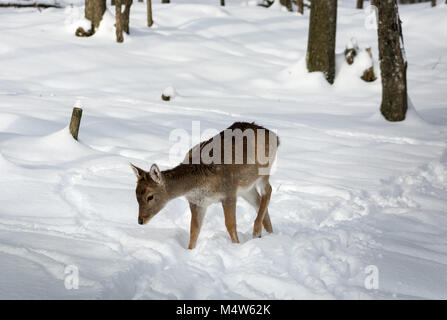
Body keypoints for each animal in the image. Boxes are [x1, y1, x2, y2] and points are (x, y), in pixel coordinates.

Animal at [130, 121, 280, 249]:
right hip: (246, 189)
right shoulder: (197, 202)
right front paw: (190, 251)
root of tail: (276, 137)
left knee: (268, 191)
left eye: (150, 196)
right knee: (258, 200)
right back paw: (268, 234)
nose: (140, 221)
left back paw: (257, 231)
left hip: (263, 171)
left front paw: (236, 246)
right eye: (135, 195)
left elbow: (230, 224)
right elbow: (194, 230)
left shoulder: (229, 191)